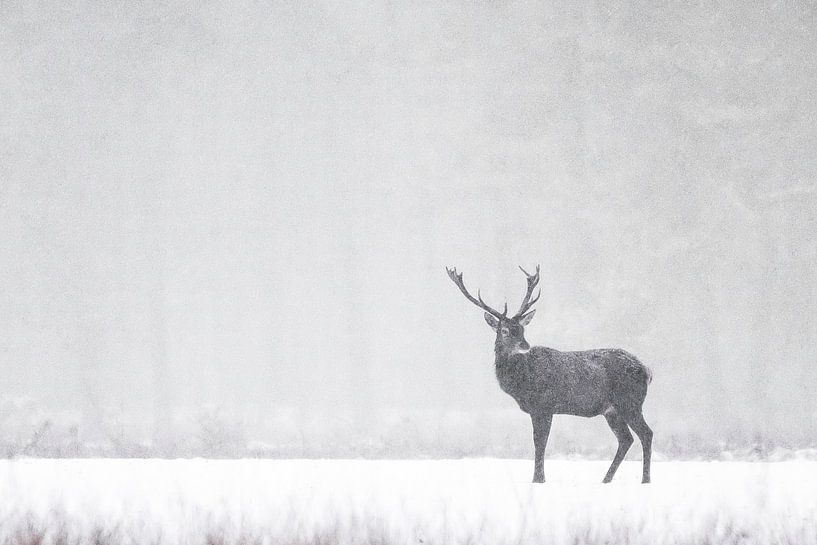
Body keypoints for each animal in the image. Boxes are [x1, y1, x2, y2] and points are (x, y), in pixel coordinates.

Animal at [444, 266, 652, 482]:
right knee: (626, 439)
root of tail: (646, 369)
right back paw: (605, 480)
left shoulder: (544, 405)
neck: (522, 383)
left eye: (522, 328)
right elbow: (539, 442)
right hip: (612, 410)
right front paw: (539, 478)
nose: (525, 345)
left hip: (630, 402)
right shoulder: (539, 409)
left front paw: (538, 479)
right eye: (504, 331)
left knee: (646, 434)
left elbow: (540, 443)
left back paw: (645, 480)